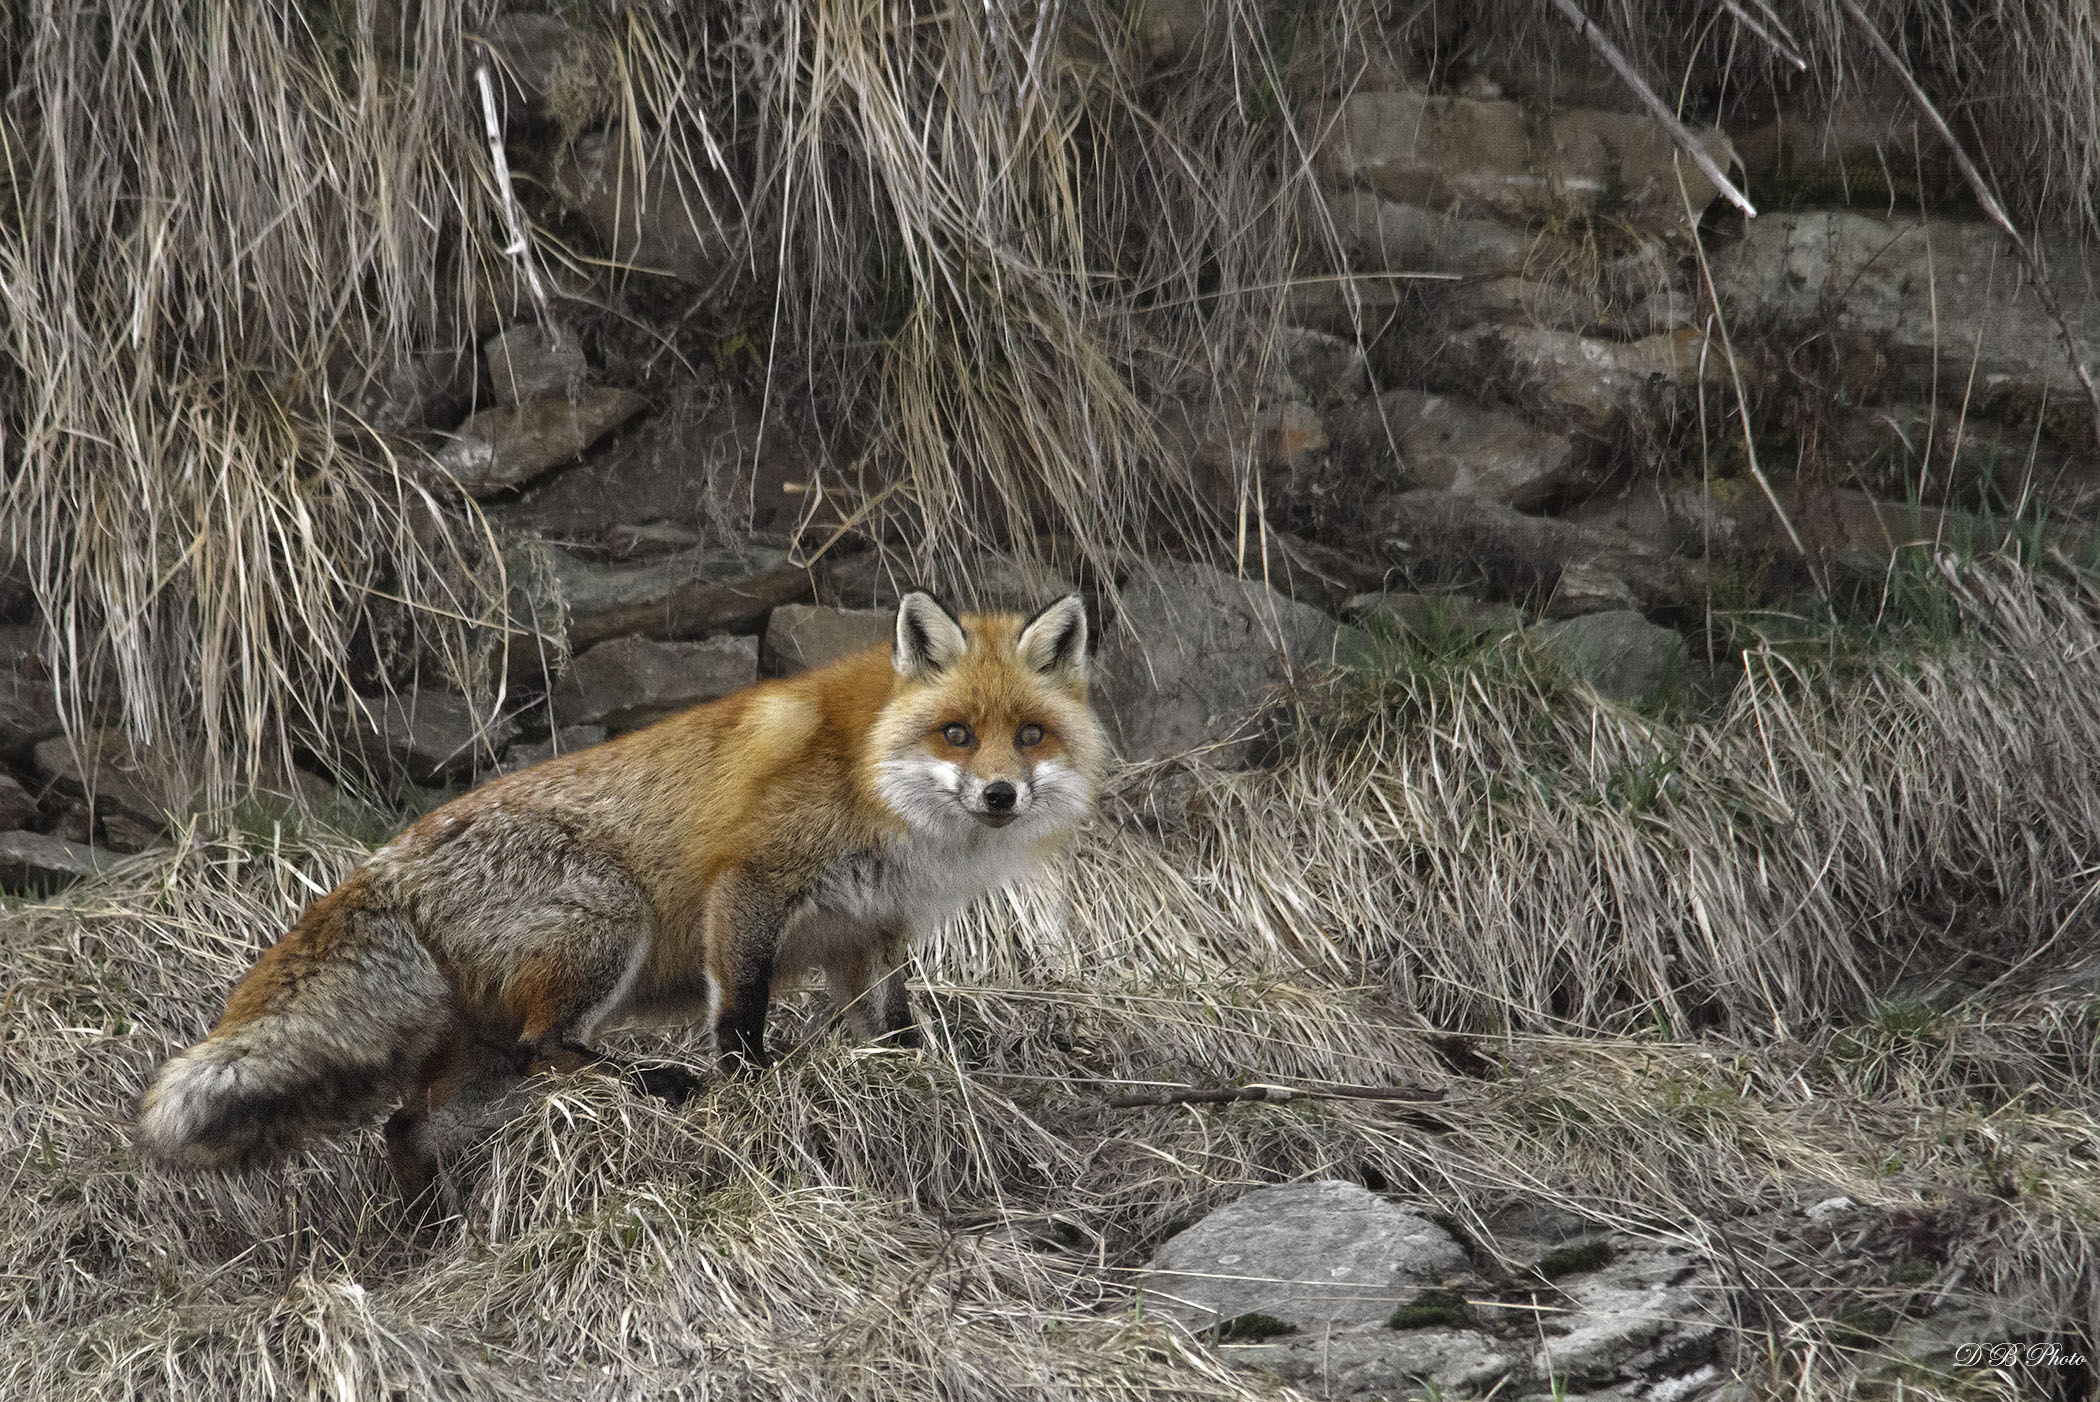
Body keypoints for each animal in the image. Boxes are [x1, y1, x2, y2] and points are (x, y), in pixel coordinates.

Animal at [135, 591, 1104, 1201]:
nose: (999, 796)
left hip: (482, 1059)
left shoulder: (870, 936)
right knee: (549, 1049)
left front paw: (921, 1079)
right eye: (956, 733)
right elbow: (741, 1011)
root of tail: (386, 862)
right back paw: (654, 1083)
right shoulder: (749, 883)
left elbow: (896, 1029)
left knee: (408, 1127)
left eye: (1029, 735)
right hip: (611, 918)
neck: (871, 773)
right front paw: (748, 1088)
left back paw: (424, 1226)